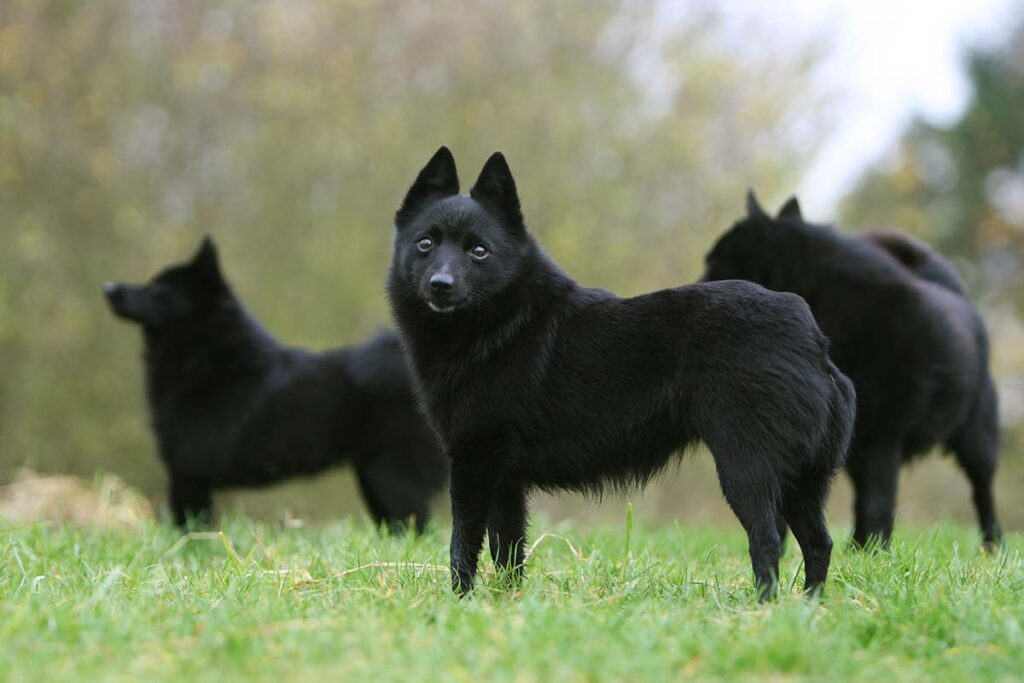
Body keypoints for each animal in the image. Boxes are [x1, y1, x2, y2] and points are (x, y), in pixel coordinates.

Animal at [102, 237, 448, 532]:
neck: (209, 359)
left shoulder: (189, 472)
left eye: (158, 292)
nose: (108, 288)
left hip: (393, 476)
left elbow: (187, 527)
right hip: (374, 476)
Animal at [385, 148, 856, 598]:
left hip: (747, 470)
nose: (440, 285)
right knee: (819, 544)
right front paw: (506, 604)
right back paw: (809, 607)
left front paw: (460, 601)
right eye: (425, 243)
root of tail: (813, 339)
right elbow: (508, 551)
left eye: (478, 250)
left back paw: (764, 608)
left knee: (768, 542)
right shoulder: (504, 480)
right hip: (803, 479)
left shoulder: (473, 462)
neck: (501, 324)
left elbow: (462, 545)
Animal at [704, 193, 999, 548]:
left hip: (975, 435)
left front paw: (878, 552)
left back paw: (992, 544)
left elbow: (878, 504)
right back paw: (857, 546)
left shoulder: (884, 440)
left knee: (982, 489)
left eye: (715, 266)